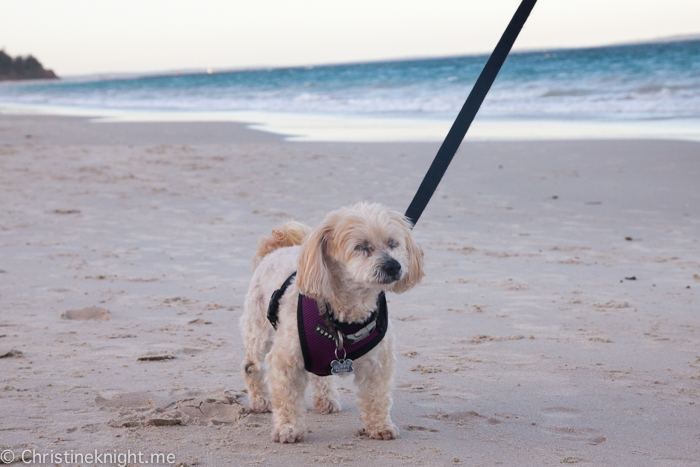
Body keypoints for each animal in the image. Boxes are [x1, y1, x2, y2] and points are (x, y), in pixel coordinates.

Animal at [241, 201, 424, 442]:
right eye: (361, 247)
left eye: (394, 243)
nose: (394, 266)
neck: (346, 317)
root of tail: (277, 250)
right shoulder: (285, 362)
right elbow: (287, 400)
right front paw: (288, 429)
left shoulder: (378, 363)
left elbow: (376, 397)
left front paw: (379, 426)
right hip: (258, 332)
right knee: (251, 366)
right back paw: (259, 400)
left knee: (320, 373)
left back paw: (325, 400)